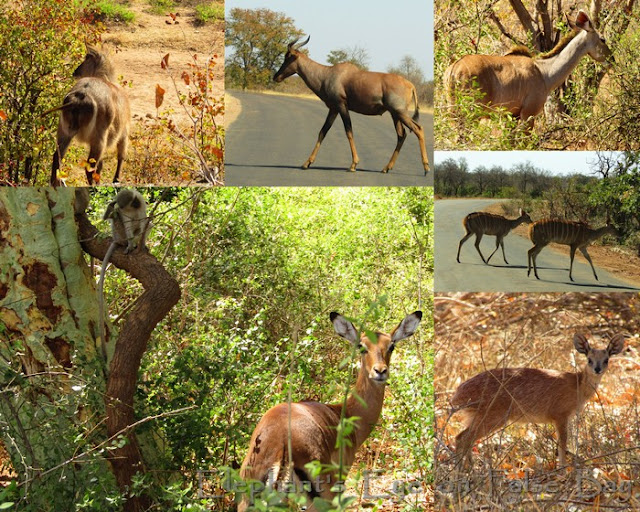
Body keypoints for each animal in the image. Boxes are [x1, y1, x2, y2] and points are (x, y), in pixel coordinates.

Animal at [45, 46, 131, 186]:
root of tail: (79, 97)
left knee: (57, 158)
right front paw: (116, 180)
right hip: (99, 138)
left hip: (64, 131)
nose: (75, 72)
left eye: (85, 59)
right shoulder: (124, 132)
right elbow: (121, 156)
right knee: (90, 169)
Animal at [272, 36, 428, 174]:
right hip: (395, 114)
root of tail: (411, 85)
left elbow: (349, 132)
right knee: (401, 135)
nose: (275, 77)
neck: (328, 73)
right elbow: (323, 131)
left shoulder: (342, 106)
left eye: (288, 57)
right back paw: (386, 168)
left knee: (418, 129)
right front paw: (306, 163)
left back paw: (425, 168)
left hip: (400, 112)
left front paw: (353, 165)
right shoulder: (333, 109)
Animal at [442, 10, 612, 128]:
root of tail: (454, 69)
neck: (544, 71)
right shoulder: (528, 114)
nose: (612, 60)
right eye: (603, 39)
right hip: (470, 113)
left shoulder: (512, 116)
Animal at [452, 332, 628, 468]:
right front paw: (562, 468)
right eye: (589, 359)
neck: (577, 385)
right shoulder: (560, 414)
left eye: (606, 360)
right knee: (463, 438)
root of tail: (458, 395)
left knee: (464, 438)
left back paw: (468, 468)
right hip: (493, 416)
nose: (597, 369)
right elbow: (563, 444)